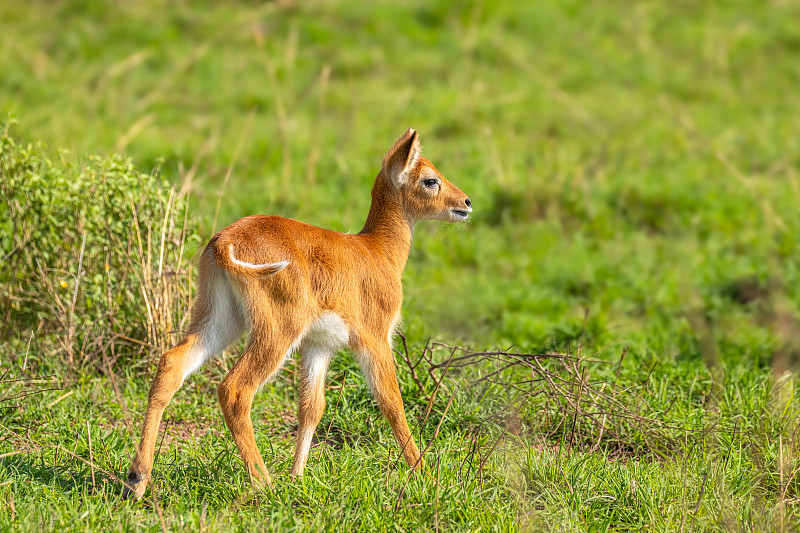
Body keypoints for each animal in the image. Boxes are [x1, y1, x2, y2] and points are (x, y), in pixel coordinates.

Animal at [122, 129, 472, 498]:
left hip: (221, 320)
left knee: (172, 363)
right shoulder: (375, 339)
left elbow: (311, 406)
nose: (466, 203)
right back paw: (263, 482)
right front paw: (427, 478)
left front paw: (297, 476)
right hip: (276, 332)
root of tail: (223, 242)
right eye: (430, 179)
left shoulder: (318, 345)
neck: (377, 252)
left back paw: (137, 479)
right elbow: (392, 402)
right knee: (234, 390)